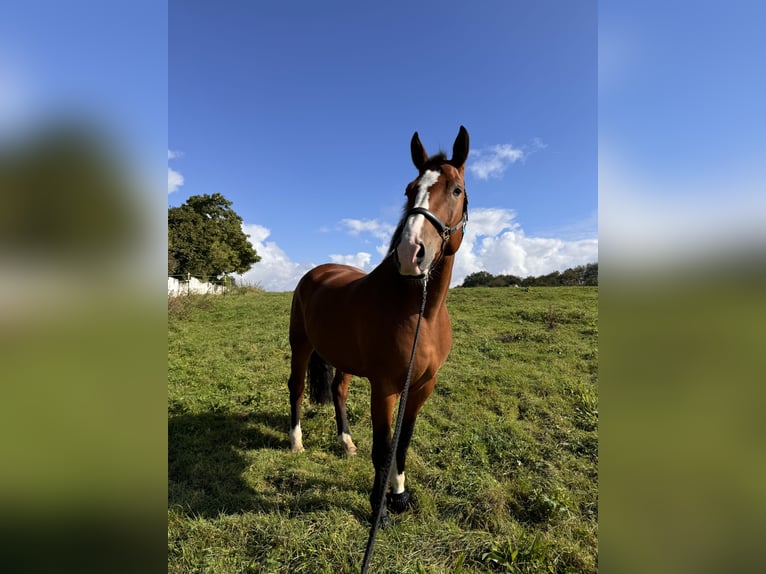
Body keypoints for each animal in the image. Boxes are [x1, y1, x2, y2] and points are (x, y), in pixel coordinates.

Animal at [286, 128, 468, 524]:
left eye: (456, 190)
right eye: (409, 189)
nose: (411, 253)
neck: (421, 313)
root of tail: (317, 272)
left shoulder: (422, 386)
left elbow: (403, 441)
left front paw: (399, 496)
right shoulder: (384, 387)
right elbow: (383, 447)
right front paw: (380, 509)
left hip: (343, 359)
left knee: (338, 391)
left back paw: (346, 442)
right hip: (300, 345)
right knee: (296, 388)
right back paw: (296, 441)